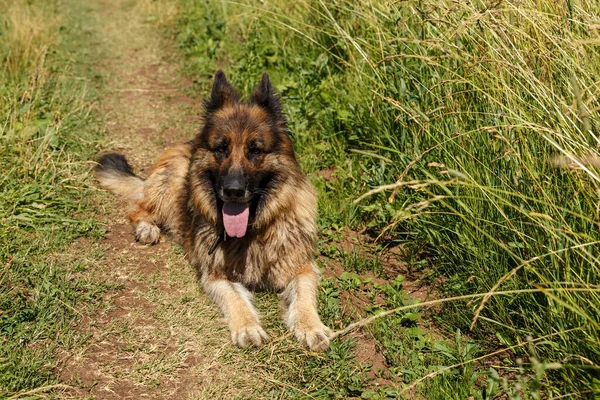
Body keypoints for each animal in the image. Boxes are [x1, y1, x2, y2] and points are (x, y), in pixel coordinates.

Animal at [98, 71, 332, 350]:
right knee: (137, 207)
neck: (254, 230)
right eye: (221, 148)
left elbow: (305, 294)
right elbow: (235, 299)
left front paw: (311, 326)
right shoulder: (217, 274)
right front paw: (247, 326)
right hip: (170, 184)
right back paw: (147, 228)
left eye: (255, 150)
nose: (233, 190)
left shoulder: (301, 266)